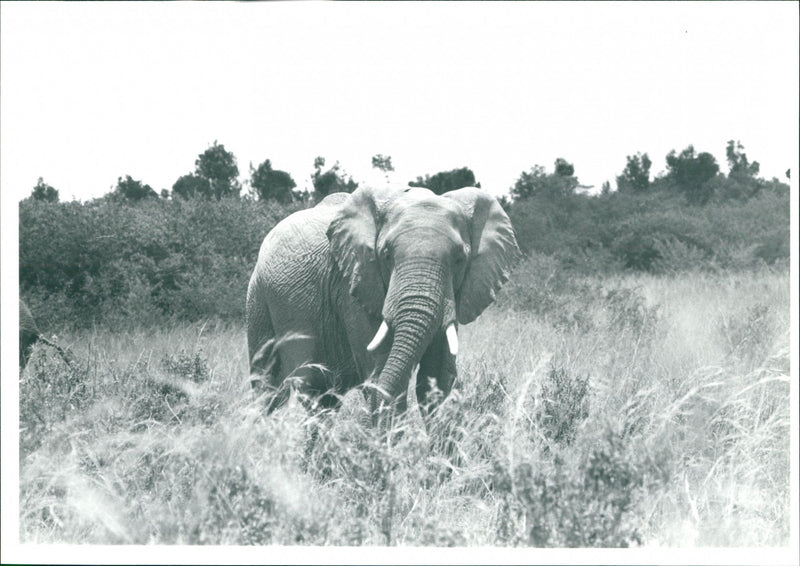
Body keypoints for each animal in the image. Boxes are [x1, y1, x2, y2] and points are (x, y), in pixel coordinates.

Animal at [246, 184, 520, 423]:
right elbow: (382, 372)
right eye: (386, 255)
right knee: (271, 387)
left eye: (459, 259)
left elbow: (437, 379)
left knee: (324, 402)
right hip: (259, 298)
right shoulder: (354, 285)